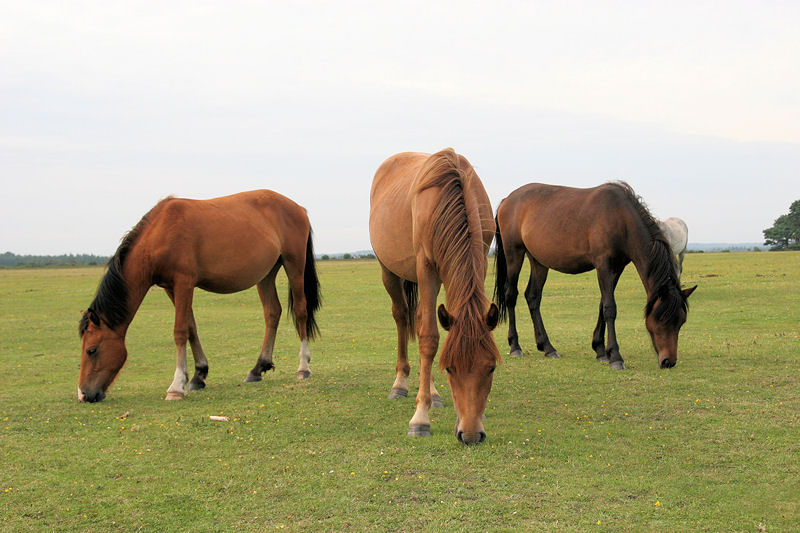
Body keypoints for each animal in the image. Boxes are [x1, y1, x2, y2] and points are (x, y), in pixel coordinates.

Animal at [78, 189, 320, 402]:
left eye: (91, 350)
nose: (83, 394)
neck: (160, 232)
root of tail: (298, 208)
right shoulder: (170, 287)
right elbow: (191, 327)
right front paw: (198, 375)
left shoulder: (184, 283)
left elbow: (180, 331)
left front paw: (176, 386)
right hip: (267, 274)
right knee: (272, 312)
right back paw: (258, 368)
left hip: (294, 264)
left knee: (300, 310)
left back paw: (303, 367)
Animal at [370, 148, 500, 442]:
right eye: (449, 368)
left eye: (491, 367)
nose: (471, 434)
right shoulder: (426, 267)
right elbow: (429, 339)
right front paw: (420, 419)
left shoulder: (480, 258)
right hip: (389, 271)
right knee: (403, 317)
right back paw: (400, 384)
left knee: (419, 319)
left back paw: (432, 393)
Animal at [494, 181, 692, 368]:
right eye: (661, 319)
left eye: (681, 321)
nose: (668, 361)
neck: (621, 217)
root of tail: (507, 200)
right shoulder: (603, 265)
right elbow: (610, 307)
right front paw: (615, 357)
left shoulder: (616, 269)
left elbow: (602, 306)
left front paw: (600, 350)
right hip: (514, 253)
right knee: (511, 295)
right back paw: (515, 346)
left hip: (539, 261)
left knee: (533, 297)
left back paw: (547, 347)